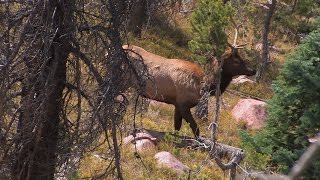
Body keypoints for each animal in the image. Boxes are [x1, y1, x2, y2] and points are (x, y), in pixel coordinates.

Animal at [122, 43, 255, 138]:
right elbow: (195, 129)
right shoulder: (183, 104)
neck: (202, 86)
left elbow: (176, 126)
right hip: (125, 81)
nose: (252, 70)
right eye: (236, 61)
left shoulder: (177, 103)